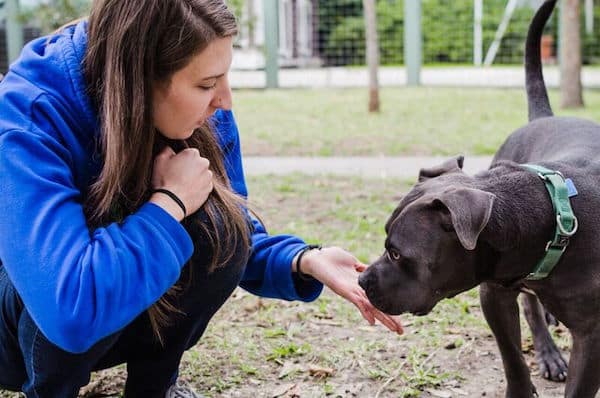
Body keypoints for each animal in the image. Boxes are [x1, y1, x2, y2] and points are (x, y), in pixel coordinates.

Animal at [360, 1, 600, 396]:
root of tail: (544, 116)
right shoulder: (494, 294)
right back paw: (548, 352)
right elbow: (513, 359)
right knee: (532, 309)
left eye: (396, 253)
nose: (362, 281)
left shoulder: (591, 336)